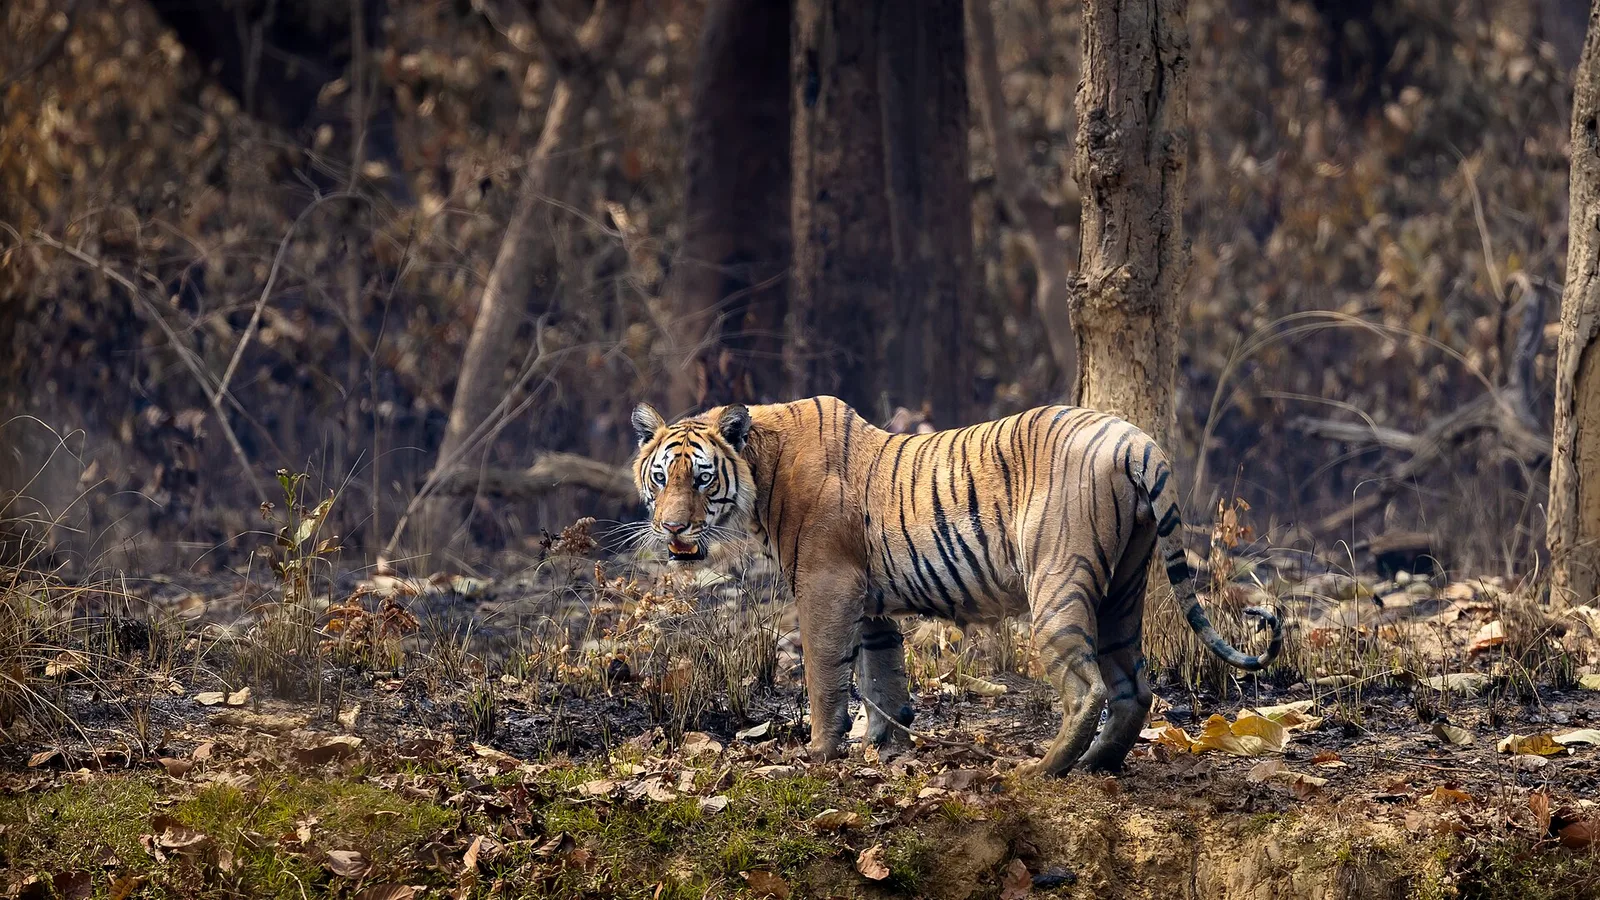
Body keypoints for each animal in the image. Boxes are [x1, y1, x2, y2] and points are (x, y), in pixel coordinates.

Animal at [629, 395, 1282, 776]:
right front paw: (888, 751)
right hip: (1124, 587)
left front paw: (819, 754)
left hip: (1058, 583)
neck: (759, 468)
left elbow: (824, 677)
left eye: (701, 479)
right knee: (1133, 687)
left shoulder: (825, 588)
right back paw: (1097, 764)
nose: (672, 528)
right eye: (660, 479)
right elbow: (883, 678)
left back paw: (1041, 770)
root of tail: (1136, 440)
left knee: (1088, 688)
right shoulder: (869, 604)